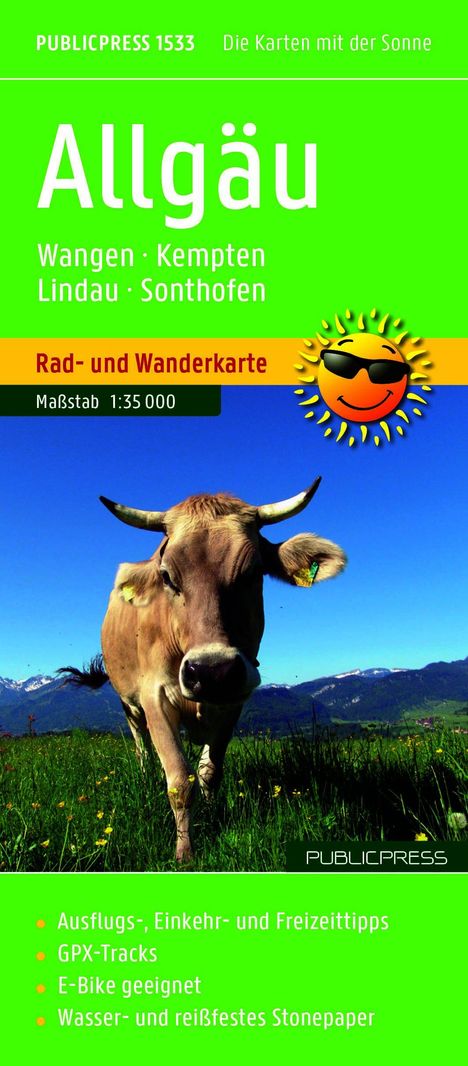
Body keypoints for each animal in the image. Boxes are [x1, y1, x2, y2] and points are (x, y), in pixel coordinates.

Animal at [68, 479, 346, 862]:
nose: (211, 671)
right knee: (140, 745)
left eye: (253, 572)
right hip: (129, 703)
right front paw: (184, 852)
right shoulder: (154, 697)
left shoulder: (234, 698)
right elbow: (178, 782)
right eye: (167, 576)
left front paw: (214, 817)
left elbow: (208, 772)